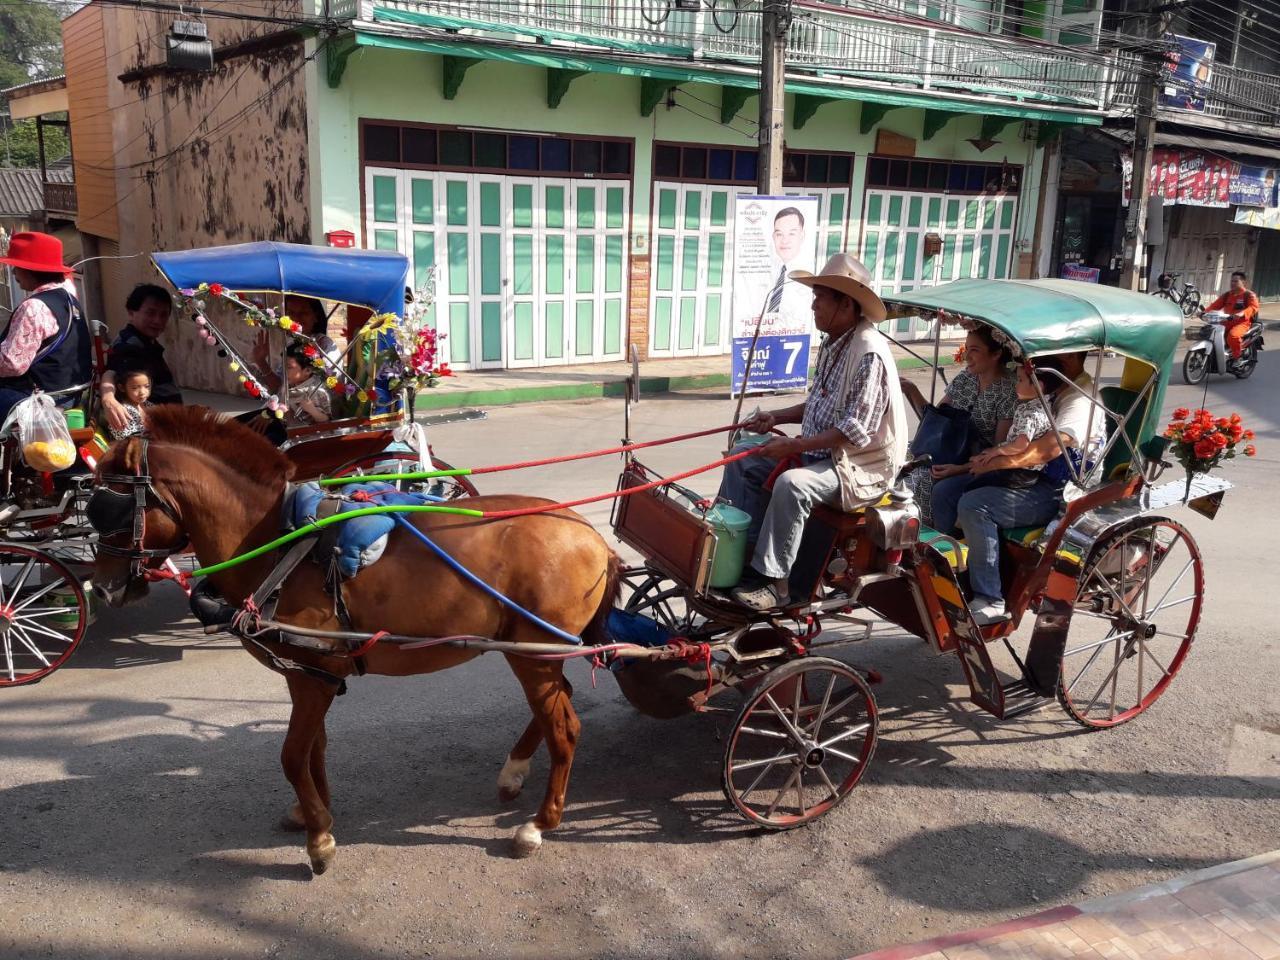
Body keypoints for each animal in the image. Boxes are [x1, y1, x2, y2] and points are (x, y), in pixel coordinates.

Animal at [90, 409, 619, 875]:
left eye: (110, 507)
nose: (102, 588)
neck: (274, 544)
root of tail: (592, 537)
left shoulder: (315, 677)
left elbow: (291, 755)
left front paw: (319, 842)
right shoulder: (308, 672)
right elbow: (314, 748)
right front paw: (314, 814)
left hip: (537, 655)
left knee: (565, 728)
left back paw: (539, 824)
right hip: (532, 653)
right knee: (560, 703)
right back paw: (514, 771)